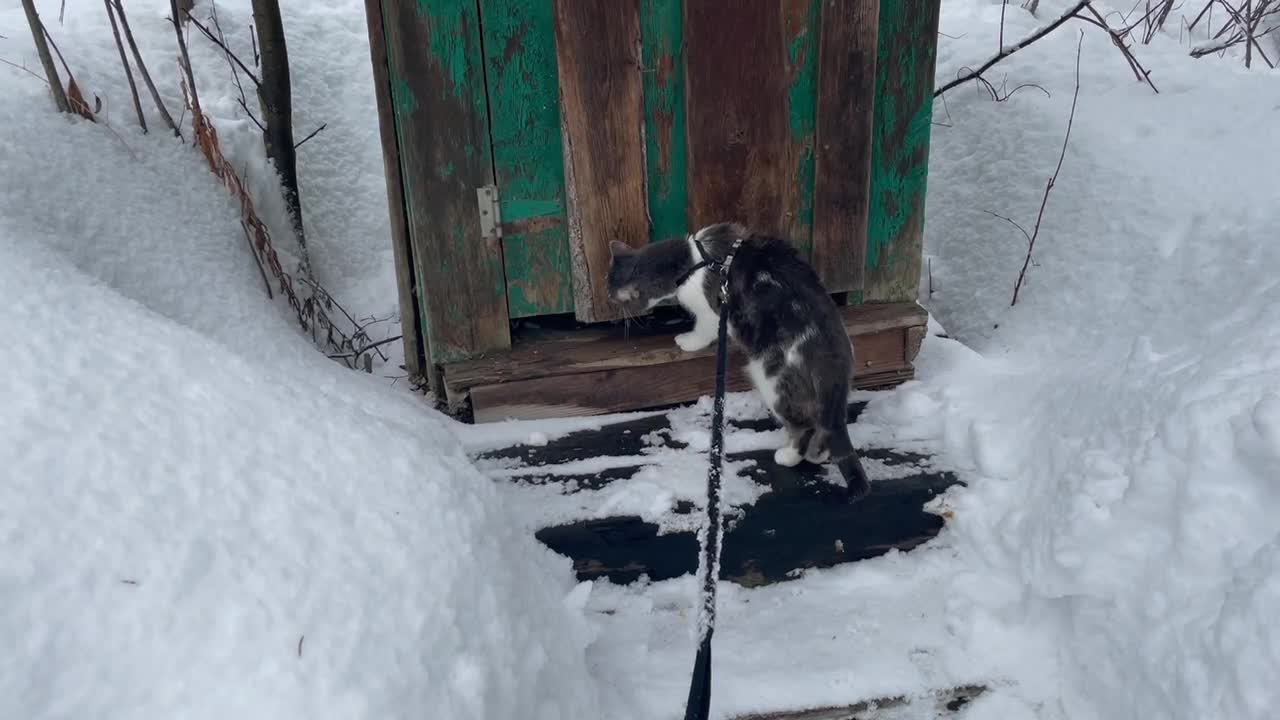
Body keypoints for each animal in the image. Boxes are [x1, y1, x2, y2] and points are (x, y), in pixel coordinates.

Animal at [606, 220, 870, 499]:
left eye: (612, 295)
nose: (608, 299)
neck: (692, 258)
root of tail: (832, 361)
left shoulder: (710, 309)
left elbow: (704, 328)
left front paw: (688, 341)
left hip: (773, 381)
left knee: (803, 425)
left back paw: (789, 455)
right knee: (823, 423)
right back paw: (818, 454)